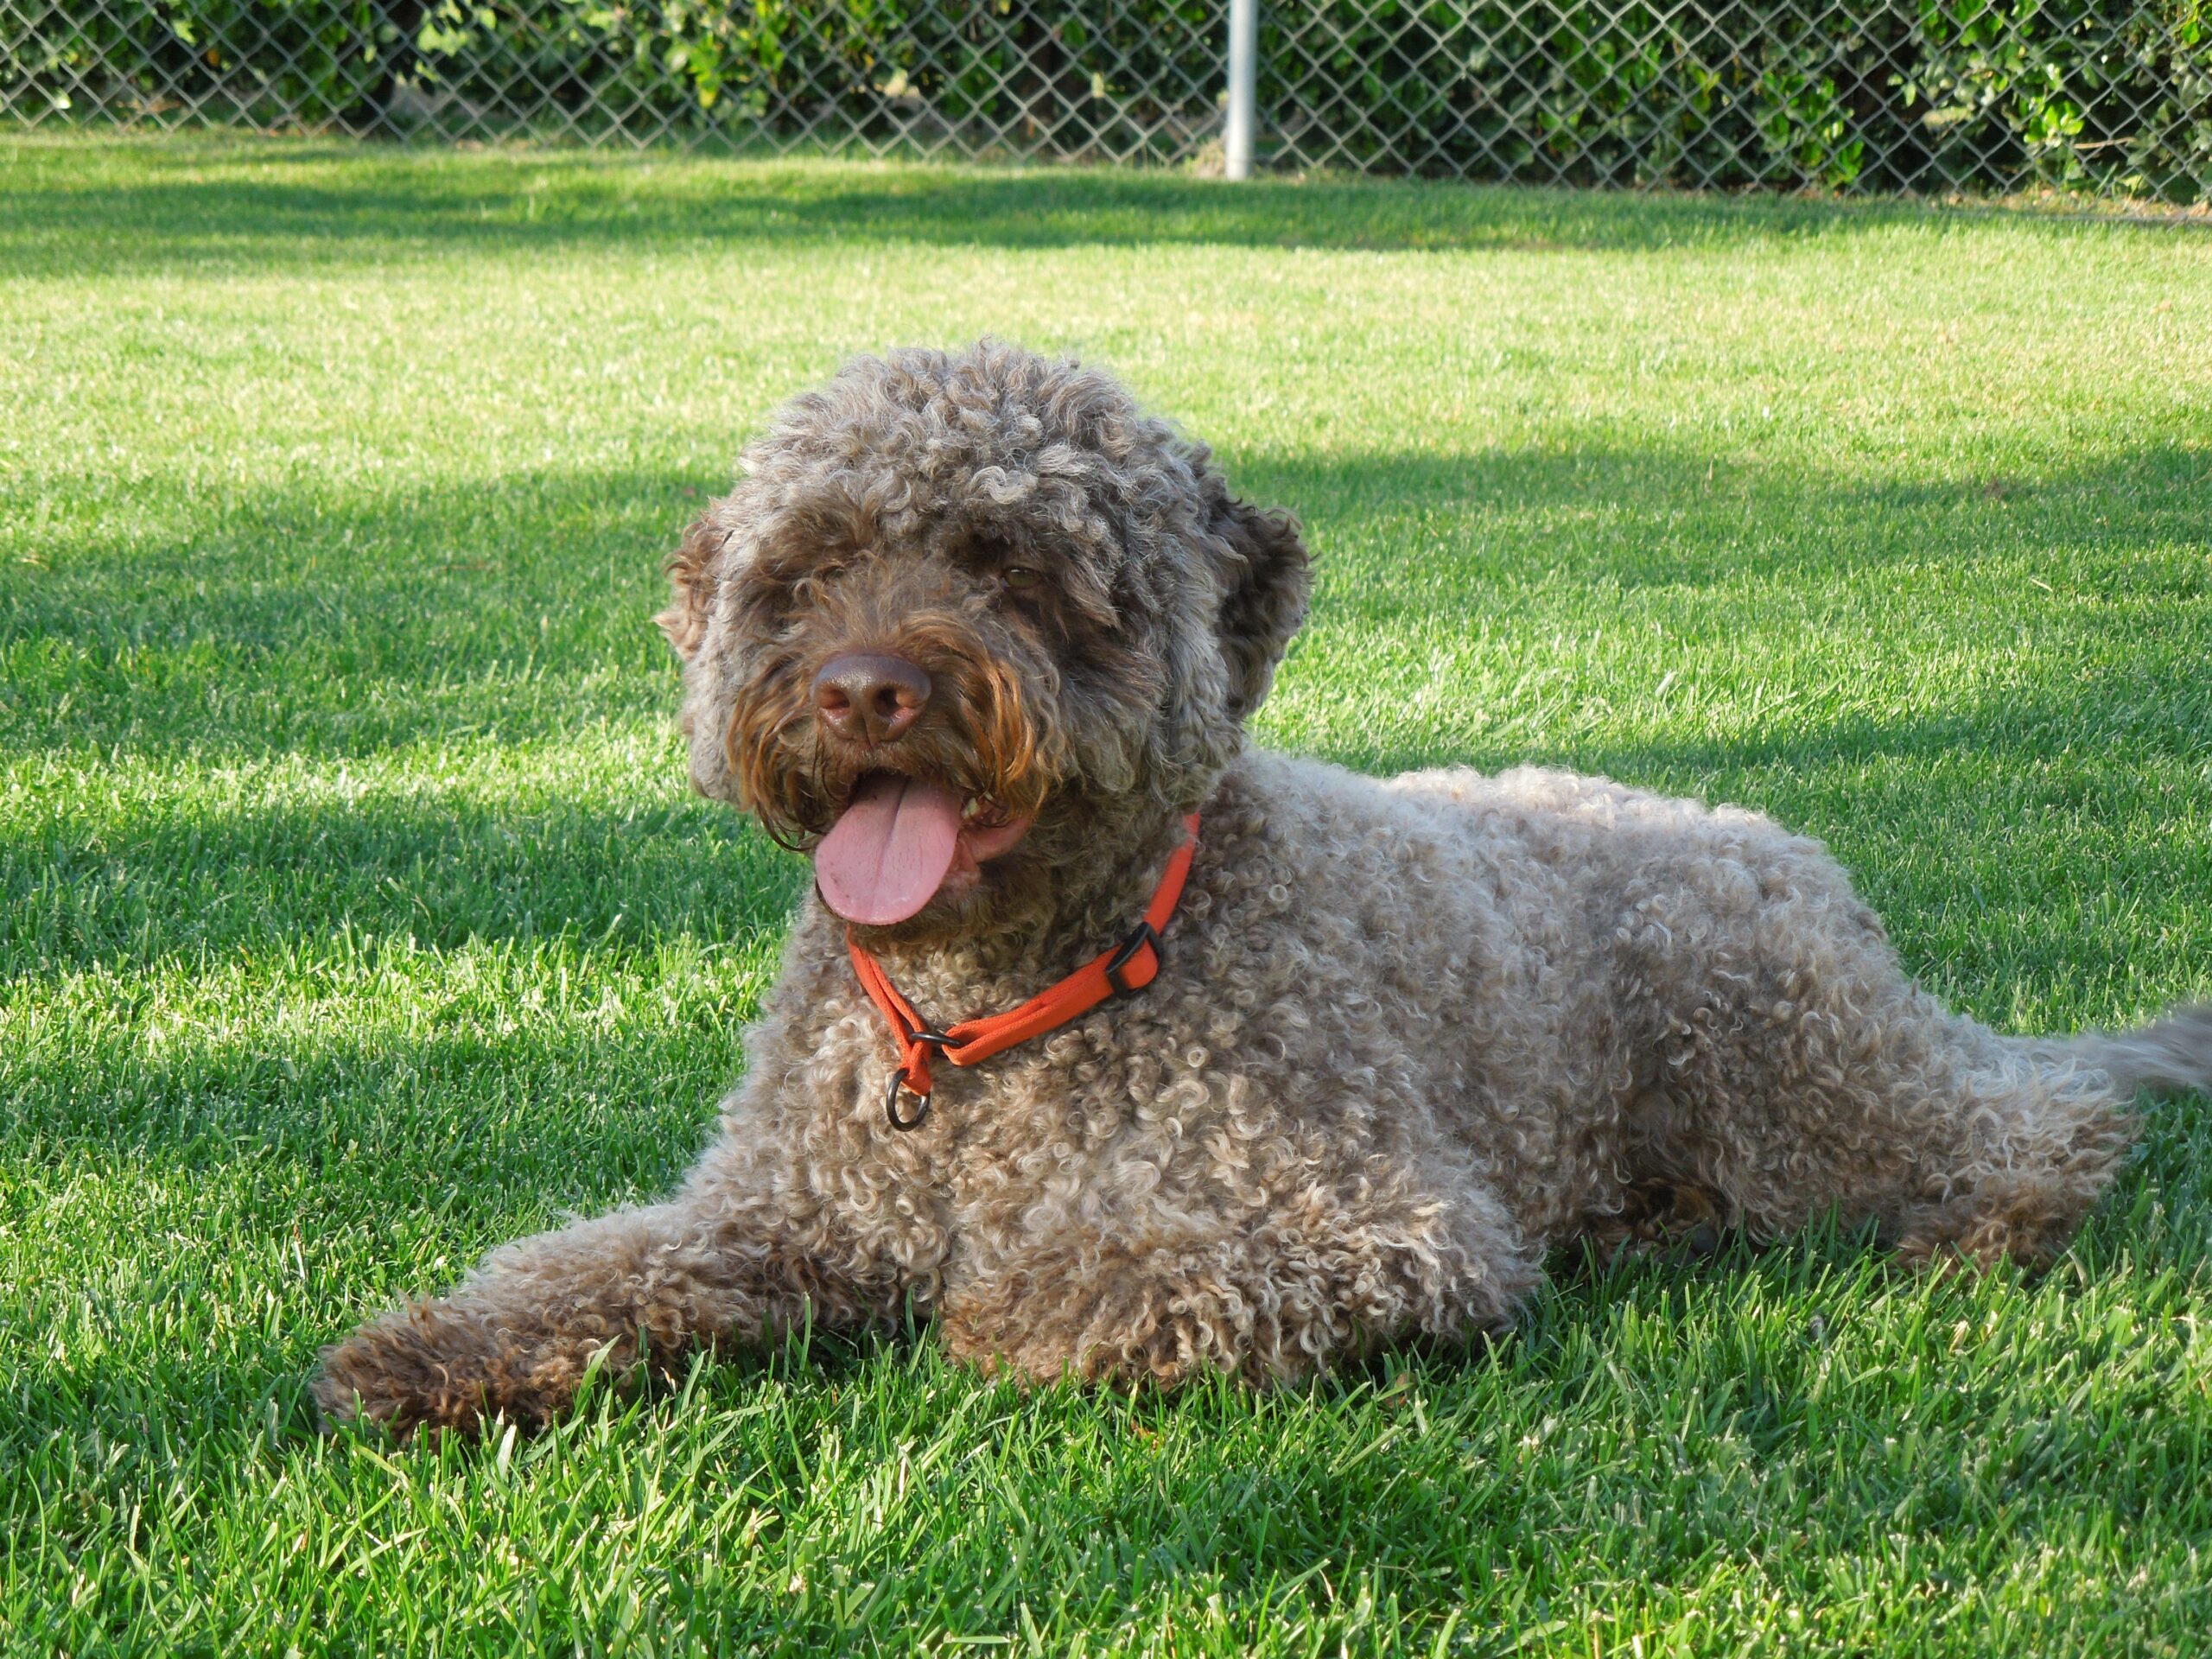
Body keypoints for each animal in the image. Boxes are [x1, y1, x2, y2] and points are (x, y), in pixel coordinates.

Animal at [311, 340, 2212, 1442]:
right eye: (812, 567)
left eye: (1014, 565)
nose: (863, 691)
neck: (988, 1019)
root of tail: (1773, 842)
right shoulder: (769, 1210)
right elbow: (593, 1270)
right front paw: (441, 1352)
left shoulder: (1378, 1221)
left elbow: (1100, 1282)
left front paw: (999, 1306)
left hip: (1786, 1073)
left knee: (2049, 1123)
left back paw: (1981, 1225)